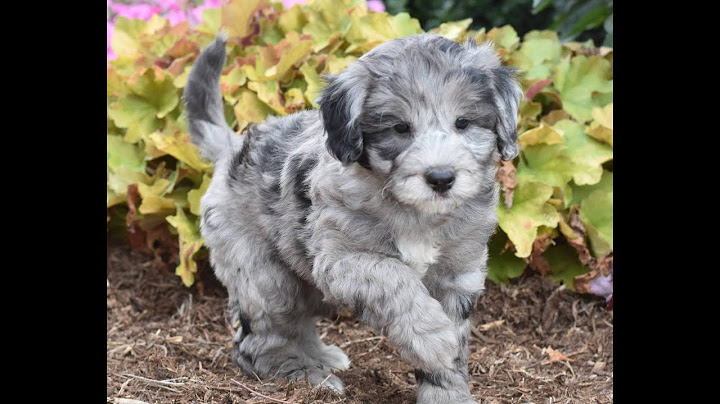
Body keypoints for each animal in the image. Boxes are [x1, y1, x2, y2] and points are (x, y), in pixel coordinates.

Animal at [184, 32, 524, 404]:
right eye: (400, 128)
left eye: (463, 122)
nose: (441, 178)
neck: (416, 214)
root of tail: (231, 148)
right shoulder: (342, 259)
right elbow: (393, 276)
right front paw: (431, 337)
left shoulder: (458, 274)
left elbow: (454, 351)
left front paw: (447, 392)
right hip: (263, 276)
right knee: (260, 340)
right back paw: (305, 374)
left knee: (299, 321)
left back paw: (320, 356)